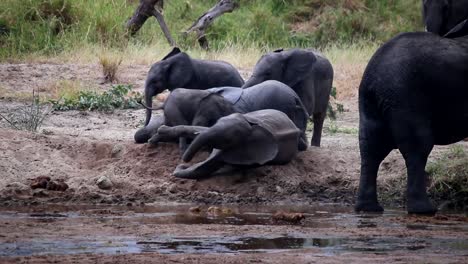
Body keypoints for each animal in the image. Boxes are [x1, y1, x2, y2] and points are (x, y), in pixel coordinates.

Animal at [152, 109, 302, 179]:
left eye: (228, 140)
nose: (184, 160)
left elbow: (201, 169)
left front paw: (181, 168)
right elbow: (201, 131)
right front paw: (161, 132)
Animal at [354, 23, 468, 216]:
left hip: (371, 103)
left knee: (371, 147)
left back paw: (368, 209)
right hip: (406, 97)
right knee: (418, 147)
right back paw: (423, 210)